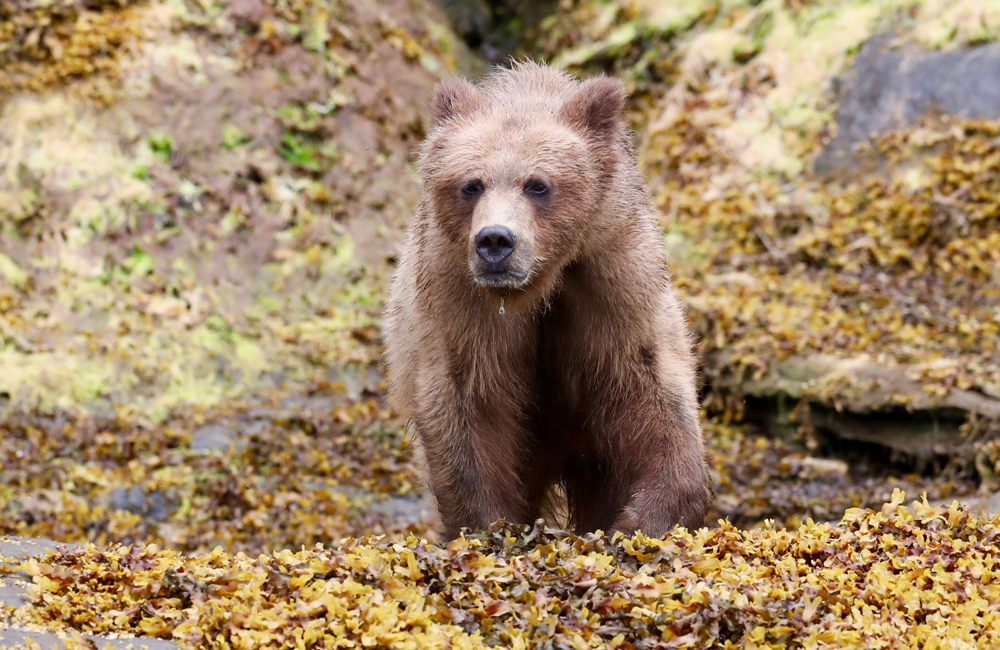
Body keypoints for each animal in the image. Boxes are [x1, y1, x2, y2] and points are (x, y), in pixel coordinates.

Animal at [384, 60, 712, 540]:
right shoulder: (456, 302)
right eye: (472, 184)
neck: (540, 285)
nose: (495, 241)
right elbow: (469, 408)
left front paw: (642, 518)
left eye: (537, 185)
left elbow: (650, 387)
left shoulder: (615, 281)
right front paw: (489, 526)